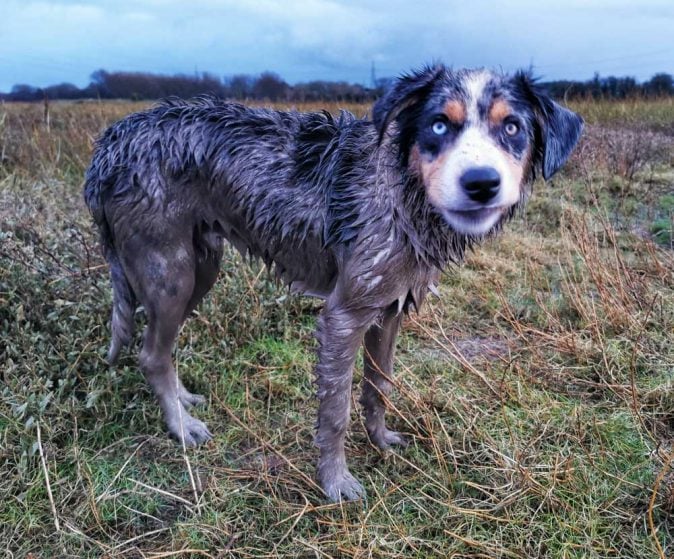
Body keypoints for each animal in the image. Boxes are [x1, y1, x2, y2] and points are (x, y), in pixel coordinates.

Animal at [82, 65, 576, 504]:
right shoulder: (343, 317)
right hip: (171, 273)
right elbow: (336, 412)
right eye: (439, 124)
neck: (400, 189)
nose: (481, 183)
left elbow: (379, 387)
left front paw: (380, 440)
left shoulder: (391, 310)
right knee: (150, 354)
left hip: (200, 269)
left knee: (162, 348)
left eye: (512, 127)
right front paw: (336, 483)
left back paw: (184, 400)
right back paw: (182, 426)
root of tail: (108, 144)